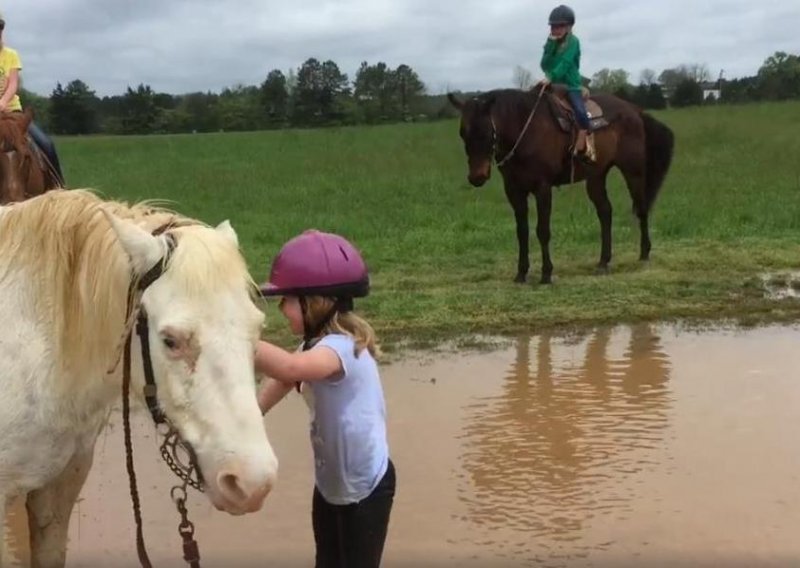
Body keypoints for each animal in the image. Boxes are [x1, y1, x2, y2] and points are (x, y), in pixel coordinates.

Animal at [450, 85, 676, 284]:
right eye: (462, 132)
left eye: (487, 131)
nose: (477, 177)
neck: (525, 130)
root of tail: (635, 110)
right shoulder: (514, 190)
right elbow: (522, 232)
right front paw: (521, 273)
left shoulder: (542, 188)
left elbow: (542, 231)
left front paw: (546, 274)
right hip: (596, 176)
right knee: (605, 212)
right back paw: (603, 261)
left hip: (633, 171)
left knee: (641, 208)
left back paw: (644, 253)